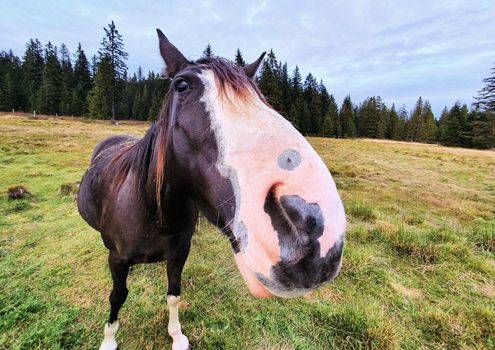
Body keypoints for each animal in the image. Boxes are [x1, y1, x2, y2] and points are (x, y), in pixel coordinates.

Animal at [77, 29, 346, 350]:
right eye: (181, 85)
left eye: (258, 95)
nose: (315, 228)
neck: (156, 211)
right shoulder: (116, 260)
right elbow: (117, 296)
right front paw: (109, 339)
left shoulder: (180, 254)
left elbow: (174, 294)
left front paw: (177, 336)